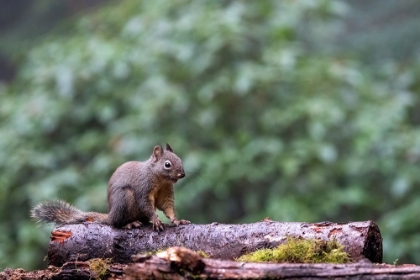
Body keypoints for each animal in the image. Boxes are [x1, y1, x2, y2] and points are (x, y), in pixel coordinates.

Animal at [31, 143, 190, 231]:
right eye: (167, 164)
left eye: (180, 159)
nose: (182, 174)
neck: (160, 179)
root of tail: (110, 214)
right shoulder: (142, 187)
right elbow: (145, 204)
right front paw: (156, 220)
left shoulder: (166, 191)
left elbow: (167, 206)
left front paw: (177, 220)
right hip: (124, 199)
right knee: (115, 223)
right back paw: (129, 224)